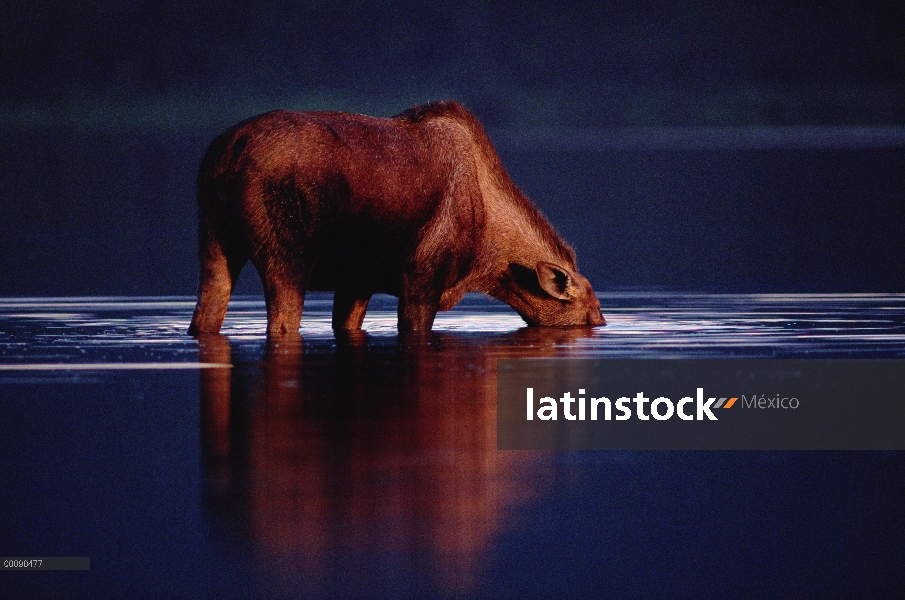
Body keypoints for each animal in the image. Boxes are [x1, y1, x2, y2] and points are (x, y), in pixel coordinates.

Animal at [187, 101, 604, 336]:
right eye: (591, 313)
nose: (603, 325)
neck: (488, 259)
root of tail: (225, 155)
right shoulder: (421, 278)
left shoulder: (357, 282)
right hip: (286, 256)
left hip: (213, 241)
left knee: (206, 314)